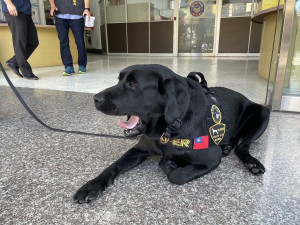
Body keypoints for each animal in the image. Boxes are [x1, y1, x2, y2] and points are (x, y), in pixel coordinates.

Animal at [73, 64, 270, 203]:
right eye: (119, 81)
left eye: (132, 84)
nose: (95, 99)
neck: (168, 130)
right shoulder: (138, 149)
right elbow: (113, 166)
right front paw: (91, 186)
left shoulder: (211, 158)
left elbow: (177, 176)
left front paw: (168, 164)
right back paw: (227, 146)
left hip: (263, 114)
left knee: (243, 145)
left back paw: (251, 162)